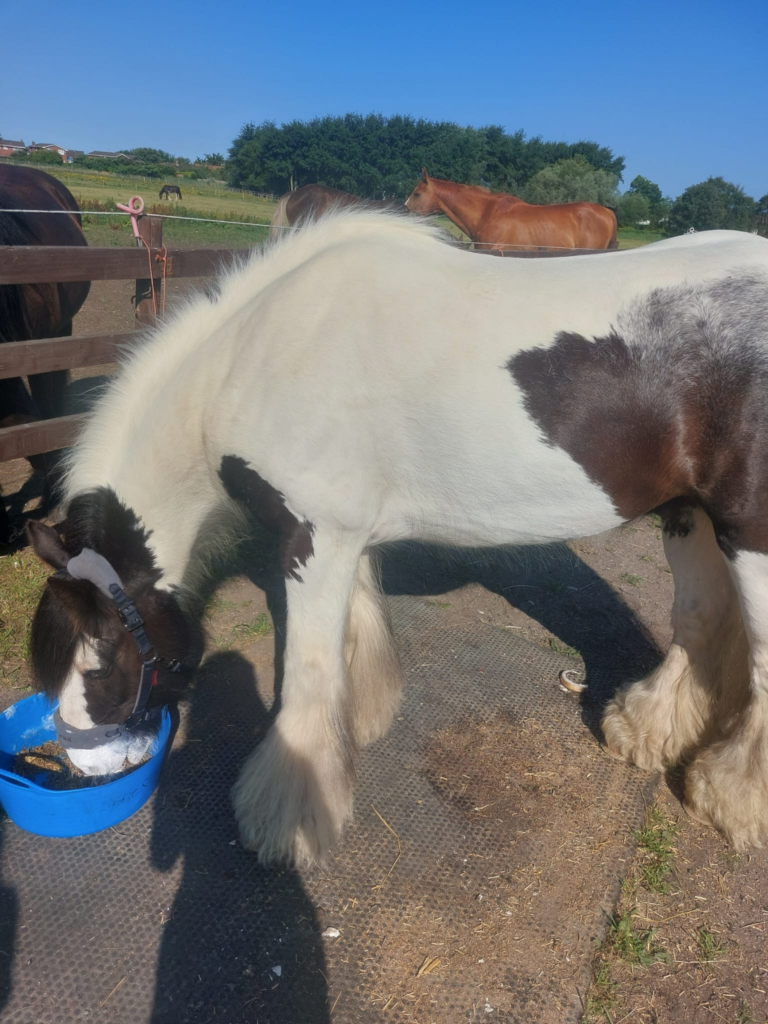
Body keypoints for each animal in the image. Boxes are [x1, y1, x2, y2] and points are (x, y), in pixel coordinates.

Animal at [25, 212, 768, 866]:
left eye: (100, 666)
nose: (82, 765)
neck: (258, 362)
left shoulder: (313, 539)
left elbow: (309, 669)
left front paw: (287, 817)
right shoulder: (336, 536)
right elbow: (354, 629)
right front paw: (362, 718)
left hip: (747, 535)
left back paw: (727, 801)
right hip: (691, 516)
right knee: (699, 620)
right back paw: (644, 731)